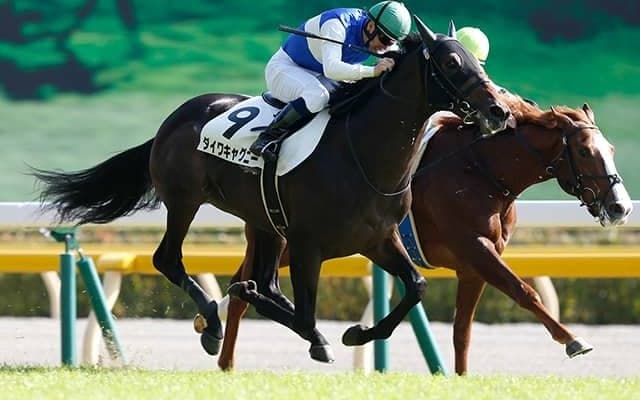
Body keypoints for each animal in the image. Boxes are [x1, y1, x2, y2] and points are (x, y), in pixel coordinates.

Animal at [31, 18, 513, 364]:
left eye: (479, 63)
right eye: (451, 63)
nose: (498, 111)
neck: (362, 153)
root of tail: (174, 118)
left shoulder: (377, 238)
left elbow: (416, 286)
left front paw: (359, 332)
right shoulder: (308, 244)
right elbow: (302, 312)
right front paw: (319, 338)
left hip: (263, 221)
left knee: (262, 280)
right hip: (185, 201)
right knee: (168, 259)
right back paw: (212, 322)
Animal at [217, 94, 632, 373]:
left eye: (611, 149)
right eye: (584, 150)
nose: (620, 207)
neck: (481, 171)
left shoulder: (472, 266)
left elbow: (462, 330)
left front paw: (461, 377)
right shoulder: (476, 248)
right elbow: (522, 291)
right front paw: (573, 340)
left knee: (241, 284)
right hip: (293, 242)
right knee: (241, 288)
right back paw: (224, 354)